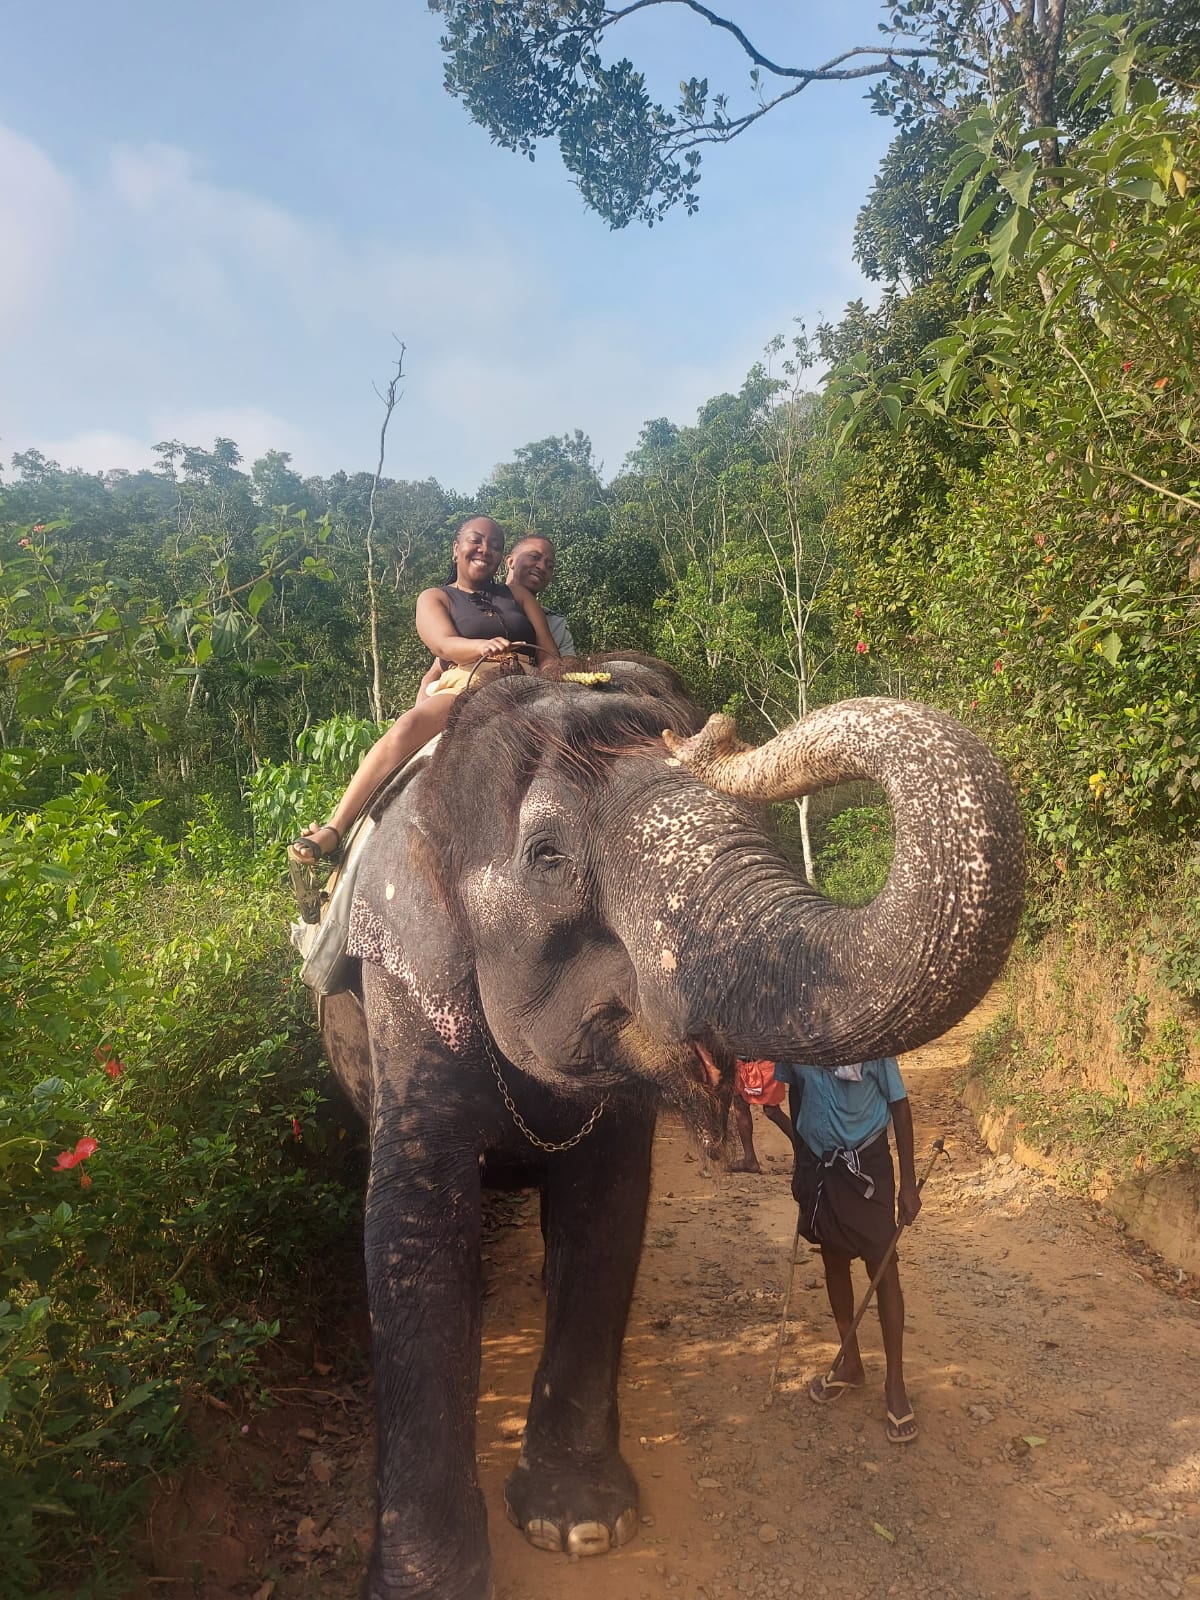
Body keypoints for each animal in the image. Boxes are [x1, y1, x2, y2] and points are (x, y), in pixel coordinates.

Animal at [320, 653, 1024, 1600]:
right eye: (547, 857)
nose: (716, 733)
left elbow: (609, 1211)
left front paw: (581, 1525)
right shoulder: (404, 993)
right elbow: (409, 1230)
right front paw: (427, 1584)